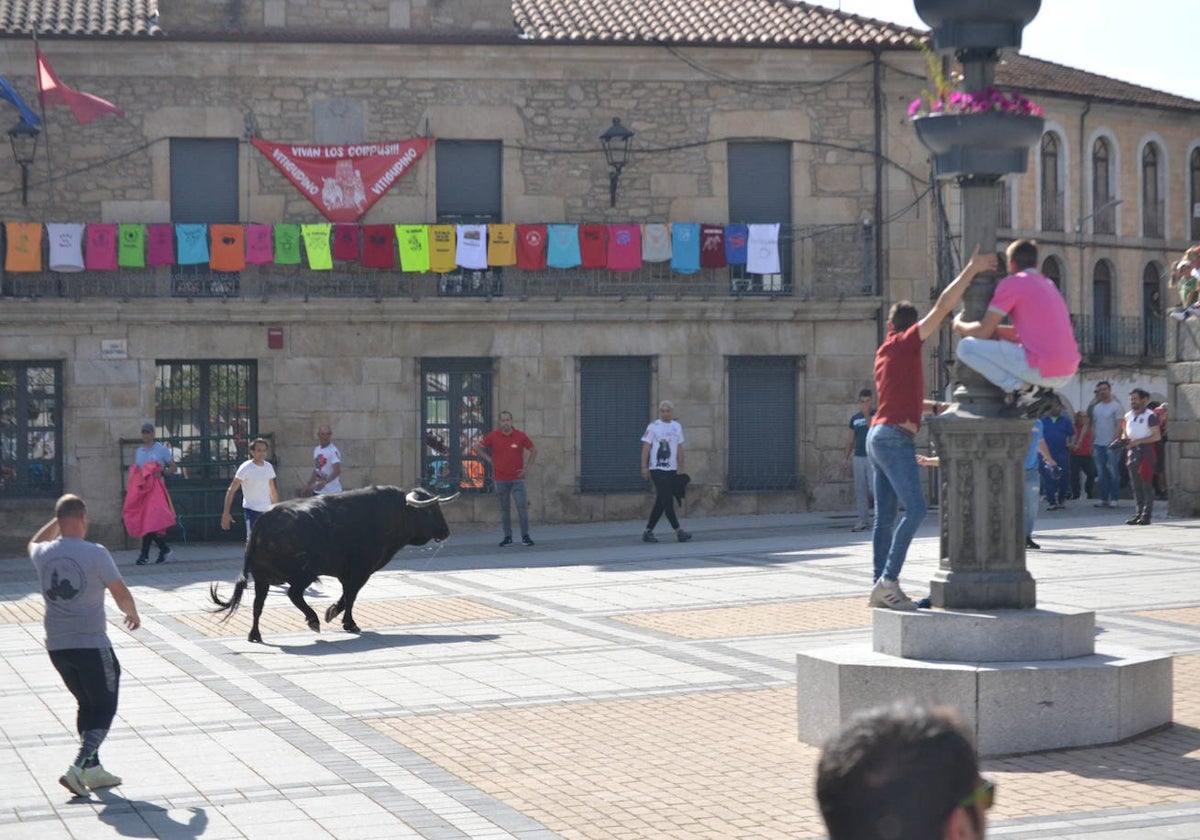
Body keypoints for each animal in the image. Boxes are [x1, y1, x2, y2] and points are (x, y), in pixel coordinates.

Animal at [208, 484, 451, 643]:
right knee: (293, 594)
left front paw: (335, 613)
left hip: (262, 578)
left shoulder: (347, 573)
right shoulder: (361, 570)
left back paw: (255, 635)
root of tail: (264, 521)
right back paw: (313, 620)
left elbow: (346, 596)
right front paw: (345, 621)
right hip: (302, 575)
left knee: (259, 604)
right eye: (430, 510)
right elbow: (350, 596)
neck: (393, 513)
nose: (446, 532)